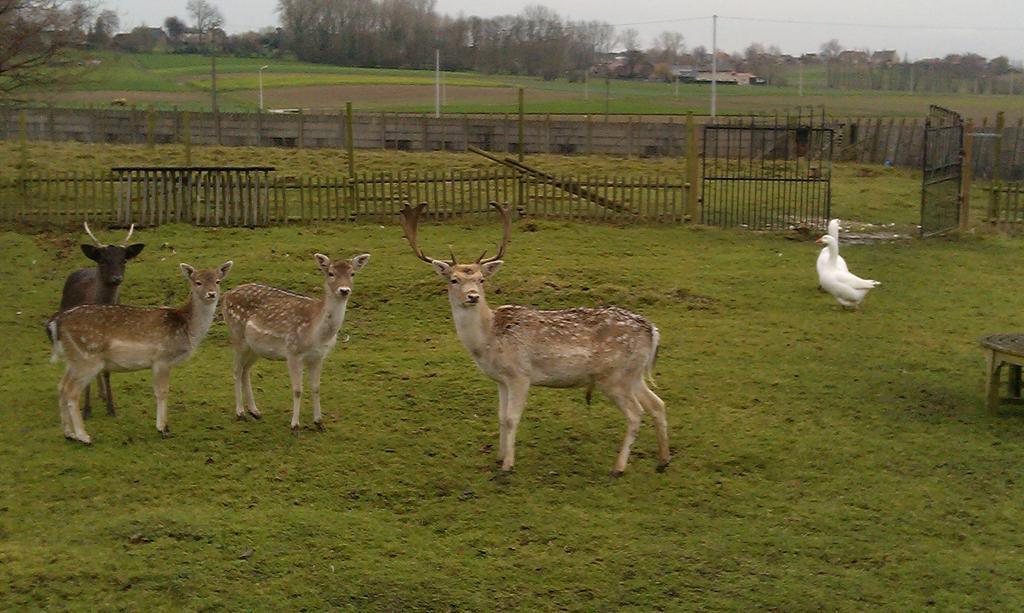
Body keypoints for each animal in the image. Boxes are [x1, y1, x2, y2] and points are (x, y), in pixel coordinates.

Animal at [48, 260, 232, 444]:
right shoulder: (162, 358)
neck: (187, 329)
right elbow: (162, 391)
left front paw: (163, 426)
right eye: (197, 282)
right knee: (71, 391)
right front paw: (163, 428)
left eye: (218, 281)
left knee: (61, 386)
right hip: (87, 359)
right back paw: (83, 436)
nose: (211, 294)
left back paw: (68, 434)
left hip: (74, 359)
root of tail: (56, 323)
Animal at [52, 223, 145, 419]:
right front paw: (87, 410)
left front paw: (111, 408)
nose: (117, 278)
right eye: (102, 261)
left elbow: (107, 371)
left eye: (123, 261)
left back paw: (101, 393)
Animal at [222, 251, 370, 433]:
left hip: (255, 347)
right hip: (237, 335)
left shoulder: (319, 356)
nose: (344, 290)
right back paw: (240, 413)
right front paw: (295, 426)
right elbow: (298, 390)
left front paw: (319, 423)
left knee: (246, 370)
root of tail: (226, 295)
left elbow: (316, 387)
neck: (317, 334)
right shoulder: (292, 351)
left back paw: (255, 411)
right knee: (236, 369)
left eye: (352, 273)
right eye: (330, 273)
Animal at [399, 203, 671, 476]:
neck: (487, 340)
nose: (473, 296)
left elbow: (511, 418)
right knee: (657, 404)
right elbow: (500, 416)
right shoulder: (501, 379)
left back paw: (619, 467)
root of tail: (653, 330)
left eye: (481, 279)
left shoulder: (520, 374)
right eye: (454, 280)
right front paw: (499, 457)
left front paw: (507, 466)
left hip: (613, 376)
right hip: (633, 374)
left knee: (635, 413)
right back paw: (663, 460)